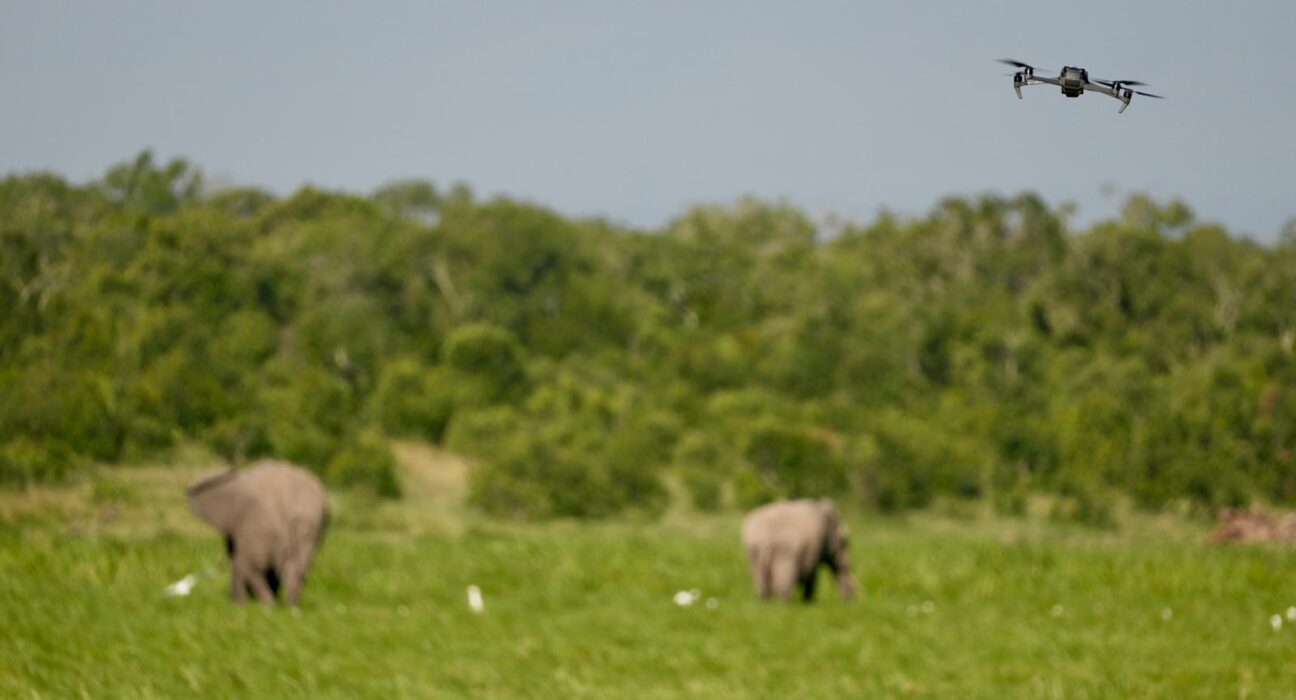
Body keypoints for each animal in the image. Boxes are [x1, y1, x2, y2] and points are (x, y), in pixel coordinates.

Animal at [186, 460, 329, 606]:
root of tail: (289, 503)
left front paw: (239, 605)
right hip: (310, 525)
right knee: (297, 568)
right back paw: (290, 606)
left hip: (261, 524)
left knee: (251, 567)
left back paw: (267, 605)